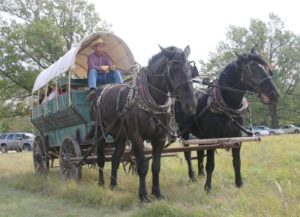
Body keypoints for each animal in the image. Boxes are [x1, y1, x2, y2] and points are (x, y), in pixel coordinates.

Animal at [92, 45, 198, 202]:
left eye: (190, 69)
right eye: (174, 68)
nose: (191, 105)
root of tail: (101, 89)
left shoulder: (159, 139)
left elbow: (155, 167)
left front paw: (157, 193)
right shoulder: (137, 137)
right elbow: (142, 167)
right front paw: (143, 196)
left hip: (121, 137)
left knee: (115, 158)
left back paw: (113, 185)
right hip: (100, 132)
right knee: (100, 158)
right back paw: (101, 183)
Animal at [175, 48, 280, 192]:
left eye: (267, 69)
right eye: (253, 69)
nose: (275, 94)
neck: (227, 106)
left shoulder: (236, 137)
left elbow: (237, 162)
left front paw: (239, 183)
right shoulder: (213, 138)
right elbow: (210, 164)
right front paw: (208, 187)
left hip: (201, 135)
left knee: (200, 151)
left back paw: (201, 174)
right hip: (184, 130)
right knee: (187, 154)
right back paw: (192, 176)